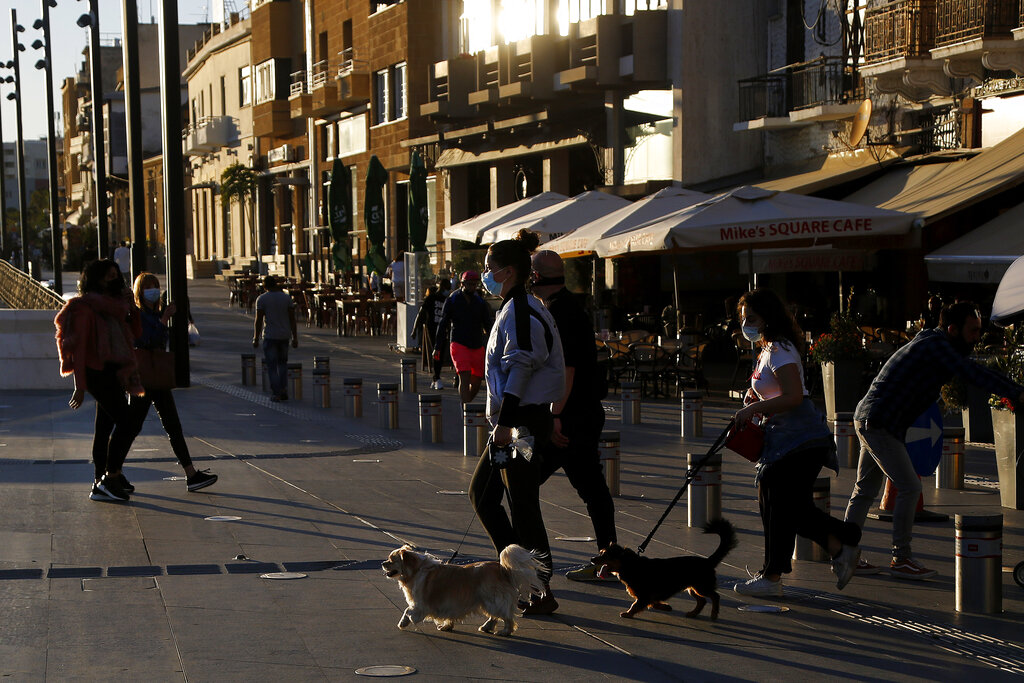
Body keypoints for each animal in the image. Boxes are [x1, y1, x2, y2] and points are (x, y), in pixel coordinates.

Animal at [382, 544, 544, 634]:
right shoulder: (448, 604)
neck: (415, 570)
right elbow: (448, 616)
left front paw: (404, 622)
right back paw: (486, 627)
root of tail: (503, 569)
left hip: (492, 600)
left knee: (506, 617)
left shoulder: (421, 605)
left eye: (391, 560)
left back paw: (504, 632)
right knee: (495, 616)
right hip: (488, 601)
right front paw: (447, 626)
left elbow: (407, 611)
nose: (383, 563)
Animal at [593, 520, 737, 622]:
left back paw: (714, 614)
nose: (592, 559)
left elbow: (636, 605)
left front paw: (628, 614)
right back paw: (693, 613)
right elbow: (653, 604)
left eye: (605, 555)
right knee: (702, 601)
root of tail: (708, 561)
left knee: (715, 596)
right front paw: (666, 607)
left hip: (701, 587)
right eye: (601, 553)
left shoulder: (644, 596)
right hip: (692, 588)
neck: (630, 565)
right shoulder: (649, 597)